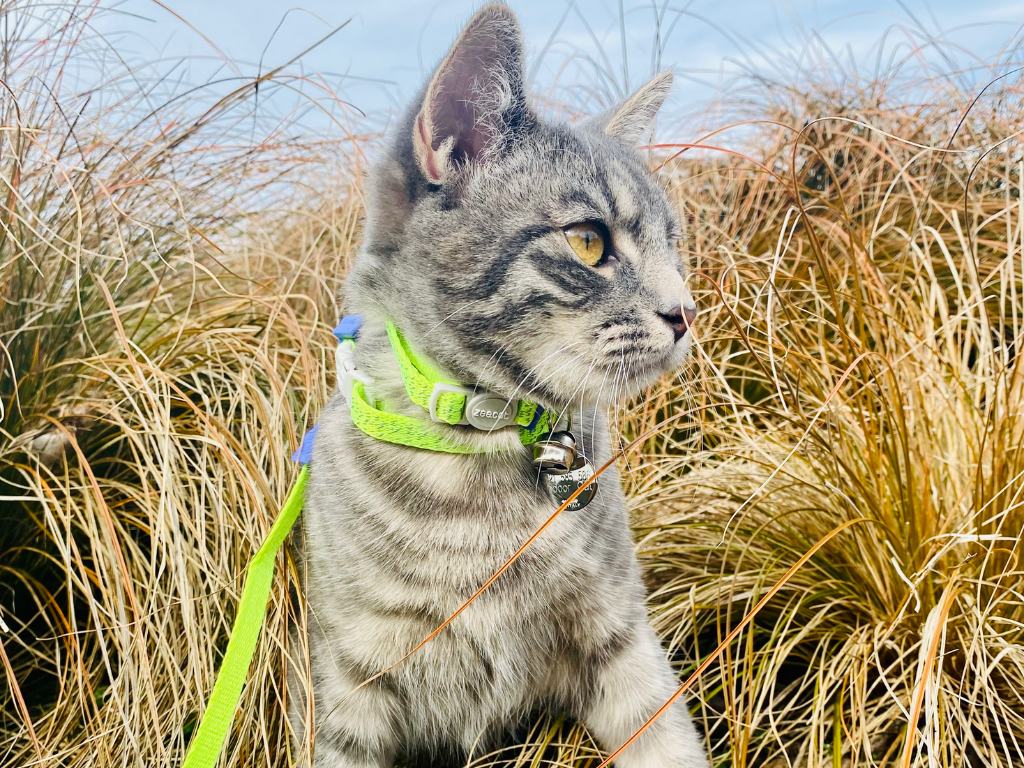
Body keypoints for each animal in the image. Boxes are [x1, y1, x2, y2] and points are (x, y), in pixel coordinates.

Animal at [288, 6, 704, 768]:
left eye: (673, 243)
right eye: (588, 241)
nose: (687, 312)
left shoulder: (624, 642)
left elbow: (667, 743)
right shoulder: (347, 689)